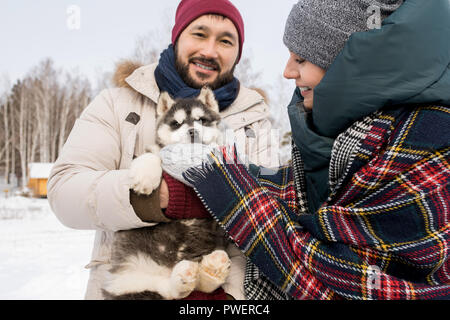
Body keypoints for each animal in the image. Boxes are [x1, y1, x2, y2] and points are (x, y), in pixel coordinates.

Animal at [102, 87, 232, 300]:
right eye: (177, 124)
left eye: (201, 120)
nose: (192, 132)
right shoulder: (153, 152)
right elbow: (151, 156)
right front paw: (145, 177)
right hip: (128, 281)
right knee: (173, 291)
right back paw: (188, 275)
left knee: (197, 286)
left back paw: (211, 269)